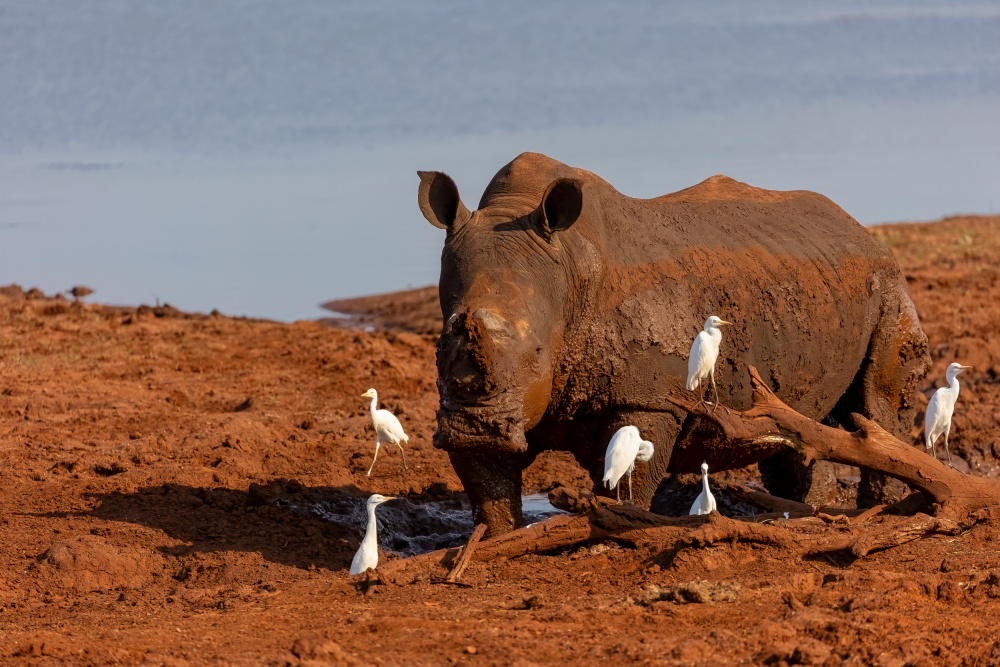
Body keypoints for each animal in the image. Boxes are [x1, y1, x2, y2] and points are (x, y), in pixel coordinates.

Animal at [417, 152, 929, 536]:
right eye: (439, 350)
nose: (474, 428)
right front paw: (497, 538)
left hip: (886, 282)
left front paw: (618, 524)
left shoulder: (648, 398)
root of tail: (859, 227)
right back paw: (800, 510)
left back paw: (880, 510)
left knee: (876, 405)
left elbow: (629, 473)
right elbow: (490, 486)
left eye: (538, 355)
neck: (569, 273)